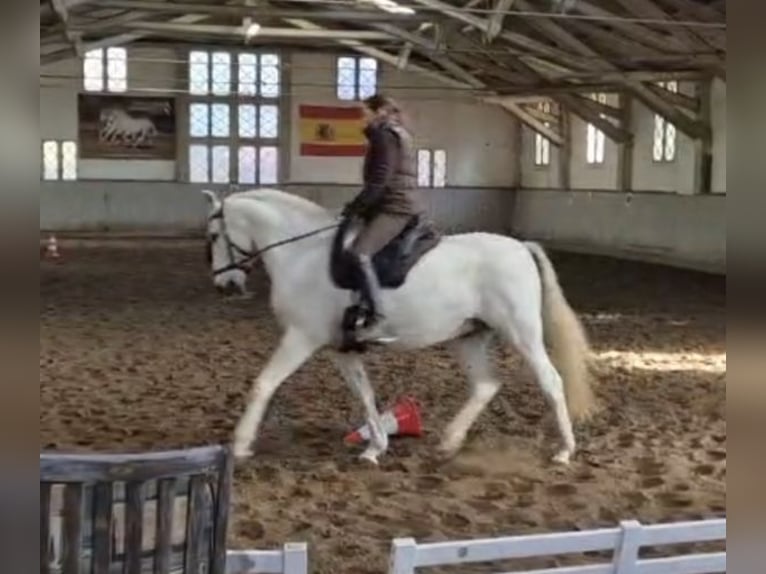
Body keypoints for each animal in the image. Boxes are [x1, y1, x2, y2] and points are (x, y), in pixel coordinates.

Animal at [202, 188, 594, 465]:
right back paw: (449, 441)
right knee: (486, 384)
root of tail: (521, 248)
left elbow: (263, 384)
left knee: (550, 381)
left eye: (213, 236)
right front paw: (375, 447)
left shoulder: (301, 337)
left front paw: (240, 445)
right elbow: (364, 394)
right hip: (468, 336)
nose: (225, 285)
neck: (303, 255)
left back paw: (564, 450)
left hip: (521, 333)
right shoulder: (341, 348)